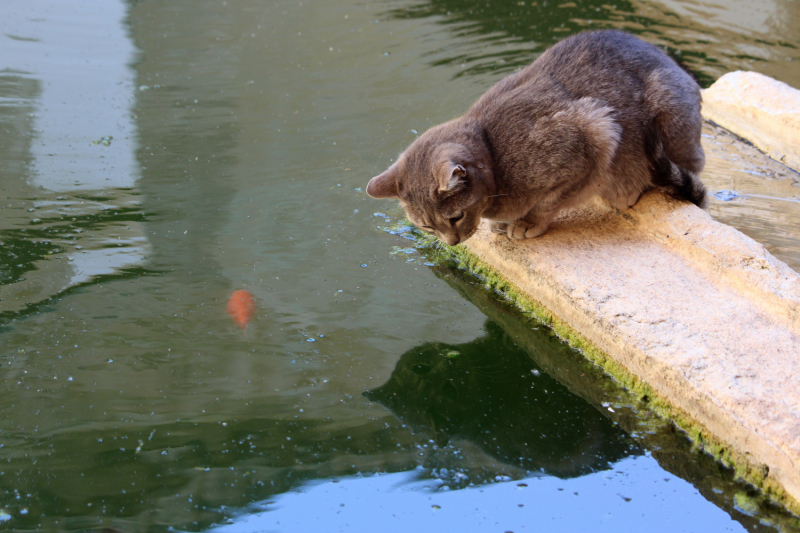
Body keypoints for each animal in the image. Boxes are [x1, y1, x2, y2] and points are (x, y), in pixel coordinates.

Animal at [366, 29, 704, 245]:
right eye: (426, 226)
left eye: (455, 217)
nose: (451, 243)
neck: (493, 156)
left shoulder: (595, 133)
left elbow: (549, 202)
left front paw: (527, 223)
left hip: (672, 122)